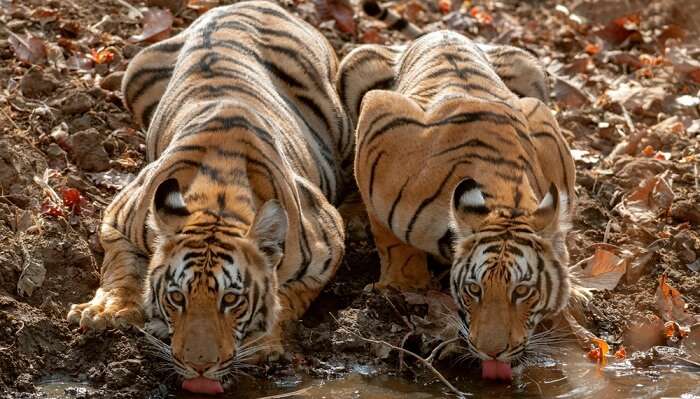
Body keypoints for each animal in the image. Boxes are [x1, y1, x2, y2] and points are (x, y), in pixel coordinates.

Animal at [65, 0, 350, 394]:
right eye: (177, 298)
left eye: (230, 300)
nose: (199, 367)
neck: (220, 198)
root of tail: (247, 4)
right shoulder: (119, 217)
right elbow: (121, 266)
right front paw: (106, 311)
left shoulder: (329, 245)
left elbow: (291, 295)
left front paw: (263, 340)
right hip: (133, 73)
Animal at [340, 25, 584, 378]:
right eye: (474, 289)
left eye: (522, 291)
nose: (492, 352)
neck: (505, 195)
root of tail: (441, 32)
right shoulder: (380, 120)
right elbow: (389, 236)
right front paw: (403, 282)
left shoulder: (545, 127)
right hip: (355, 66)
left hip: (532, 71)